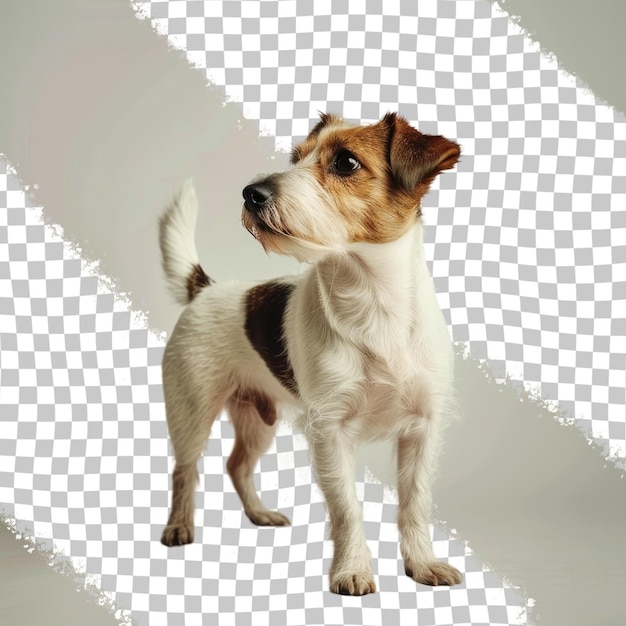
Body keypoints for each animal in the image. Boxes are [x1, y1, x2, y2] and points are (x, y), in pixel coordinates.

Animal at [160, 112, 464, 596]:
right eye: (295, 158)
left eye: (345, 162)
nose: (251, 192)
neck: (373, 306)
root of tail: (205, 289)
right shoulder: (329, 431)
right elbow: (347, 509)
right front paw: (352, 570)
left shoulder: (422, 430)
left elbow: (415, 504)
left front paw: (422, 564)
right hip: (191, 410)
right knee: (184, 470)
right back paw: (178, 527)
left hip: (258, 417)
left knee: (236, 465)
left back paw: (259, 514)